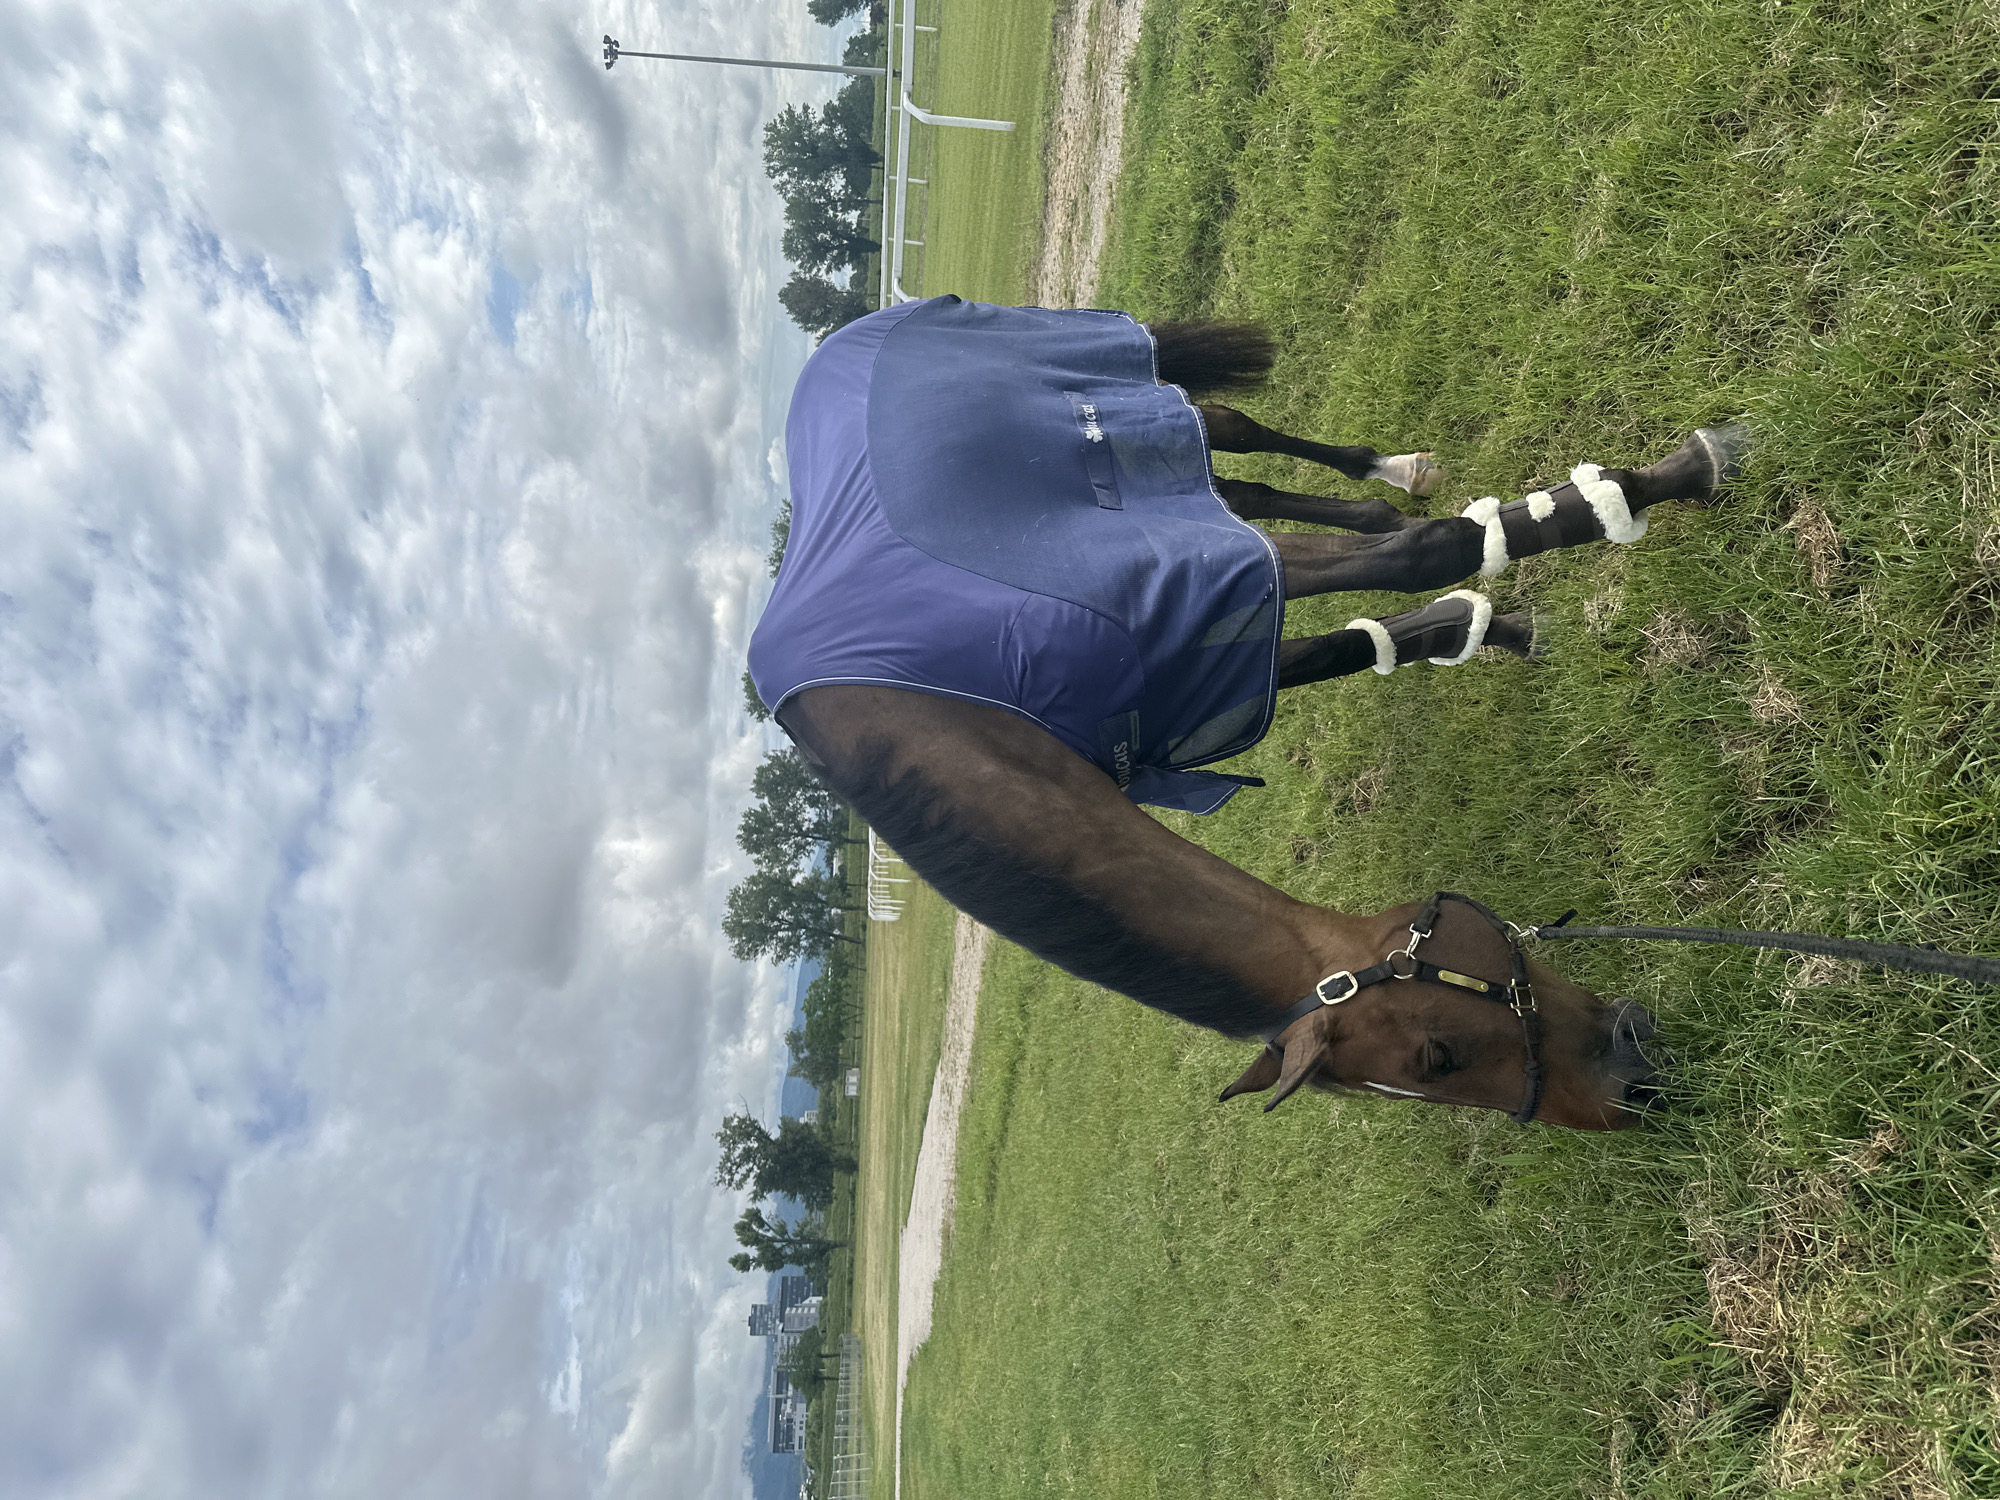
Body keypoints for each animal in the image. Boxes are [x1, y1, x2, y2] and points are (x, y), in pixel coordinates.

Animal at [749, 297, 1747, 1130]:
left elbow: (1423, 554)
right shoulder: (1203, 649)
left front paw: (1663, 479)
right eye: (1436, 1063)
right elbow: (1347, 640)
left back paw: (1397, 469)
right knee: (1256, 488)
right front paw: (1484, 624)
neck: (947, 712)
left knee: (1238, 434)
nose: (1639, 1093)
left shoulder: (1191, 583)